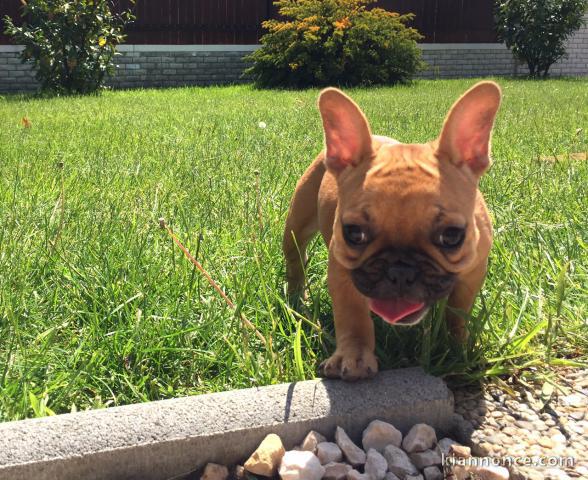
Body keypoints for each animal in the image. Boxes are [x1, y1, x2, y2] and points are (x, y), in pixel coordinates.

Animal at [284, 83, 500, 382]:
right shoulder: (342, 270)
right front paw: (353, 356)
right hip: (297, 223)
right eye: (354, 233)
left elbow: (457, 311)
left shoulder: (473, 272)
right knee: (296, 260)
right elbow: (352, 316)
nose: (400, 271)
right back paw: (296, 299)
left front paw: (458, 347)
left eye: (451, 236)